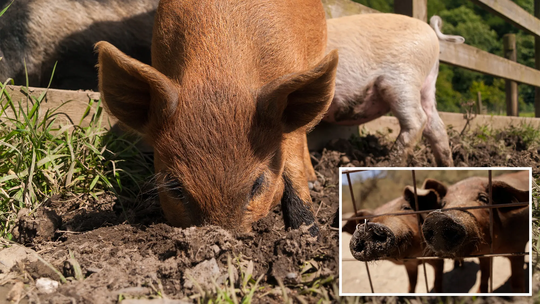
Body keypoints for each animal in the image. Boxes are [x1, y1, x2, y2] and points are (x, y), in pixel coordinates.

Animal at [320, 14, 464, 166]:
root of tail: (431, 32)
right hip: (428, 84)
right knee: (436, 126)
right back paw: (445, 166)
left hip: (403, 79)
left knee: (417, 120)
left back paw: (386, 165)